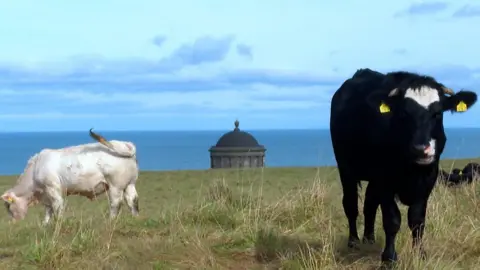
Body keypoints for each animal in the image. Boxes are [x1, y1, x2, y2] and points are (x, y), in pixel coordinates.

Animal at [1, 128, 140, 224]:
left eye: (8, 206)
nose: (13, 222)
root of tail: (125, 145)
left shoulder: (52, 188)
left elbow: (57, 207)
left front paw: (58, 223)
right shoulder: (46, 194)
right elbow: (48, 209)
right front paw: (45, 224)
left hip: (115, 185)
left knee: (116, 203)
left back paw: (110, 221)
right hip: (130, 183)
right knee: (132, 200)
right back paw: (135, 218)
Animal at [330, 68, 476, 264]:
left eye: (438, 113)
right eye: (404, 113)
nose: (421, 149)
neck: (412, 170)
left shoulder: (428, 179)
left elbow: (417, 220)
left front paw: (420, 254)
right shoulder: (385, 181)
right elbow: (392, 220)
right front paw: (389, 258)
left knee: (369, 205)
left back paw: (369, 239)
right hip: (346, 169)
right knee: (351, 205)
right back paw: (353, 242)